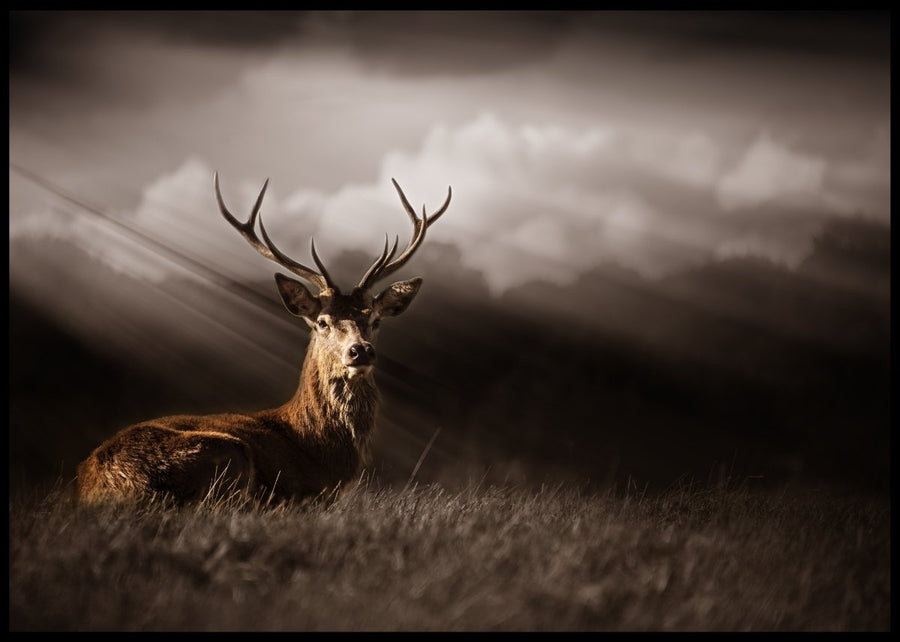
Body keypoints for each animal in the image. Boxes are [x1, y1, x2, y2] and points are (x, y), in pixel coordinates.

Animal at [75, 174, 451, 505]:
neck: (319, 450)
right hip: (226, 453)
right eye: (322, 322)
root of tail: (99, 483)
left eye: (375, 320)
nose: (360, 351)